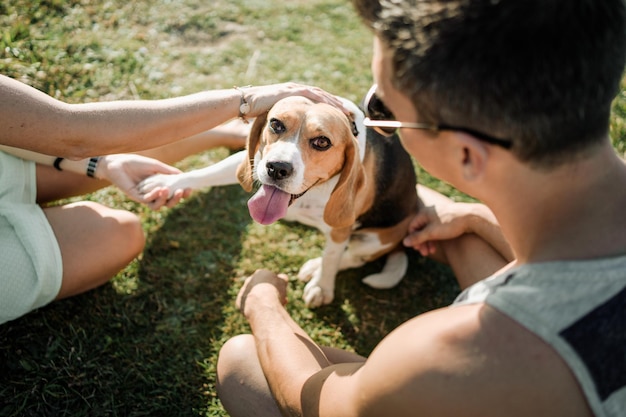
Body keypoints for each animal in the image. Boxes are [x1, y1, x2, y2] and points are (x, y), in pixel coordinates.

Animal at [139, 96, 416, 308]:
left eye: (322, 142)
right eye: (276, 124)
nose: (277, 168)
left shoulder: (340, 228)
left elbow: (332, 256)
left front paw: (321, 286)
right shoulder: (254, 160)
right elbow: (207, 173)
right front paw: (167, 182)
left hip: (377, 238)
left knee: (354, 257)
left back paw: (314, 267)